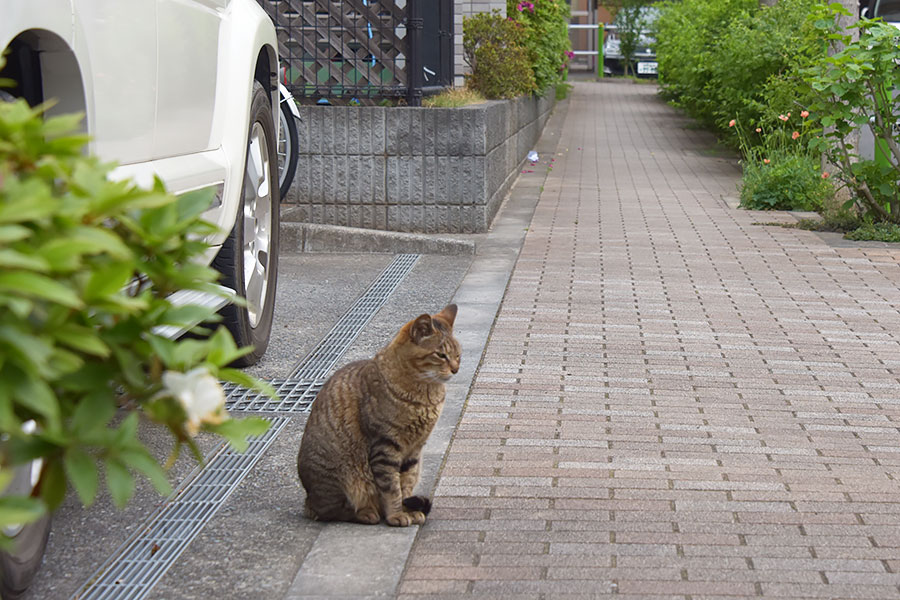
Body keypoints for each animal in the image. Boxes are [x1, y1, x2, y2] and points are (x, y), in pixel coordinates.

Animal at [298, 304, 460, 524]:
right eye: (441, 355)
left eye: (458, 355)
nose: (456, 369)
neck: (426, 395)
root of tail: (308, 498)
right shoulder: (385, 446)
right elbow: (391, 488)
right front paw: (396, 515)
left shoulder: (414, 450)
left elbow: (404, 484)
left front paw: (407, 509)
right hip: (338, 476)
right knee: (330, 511)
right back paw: (366, 513)